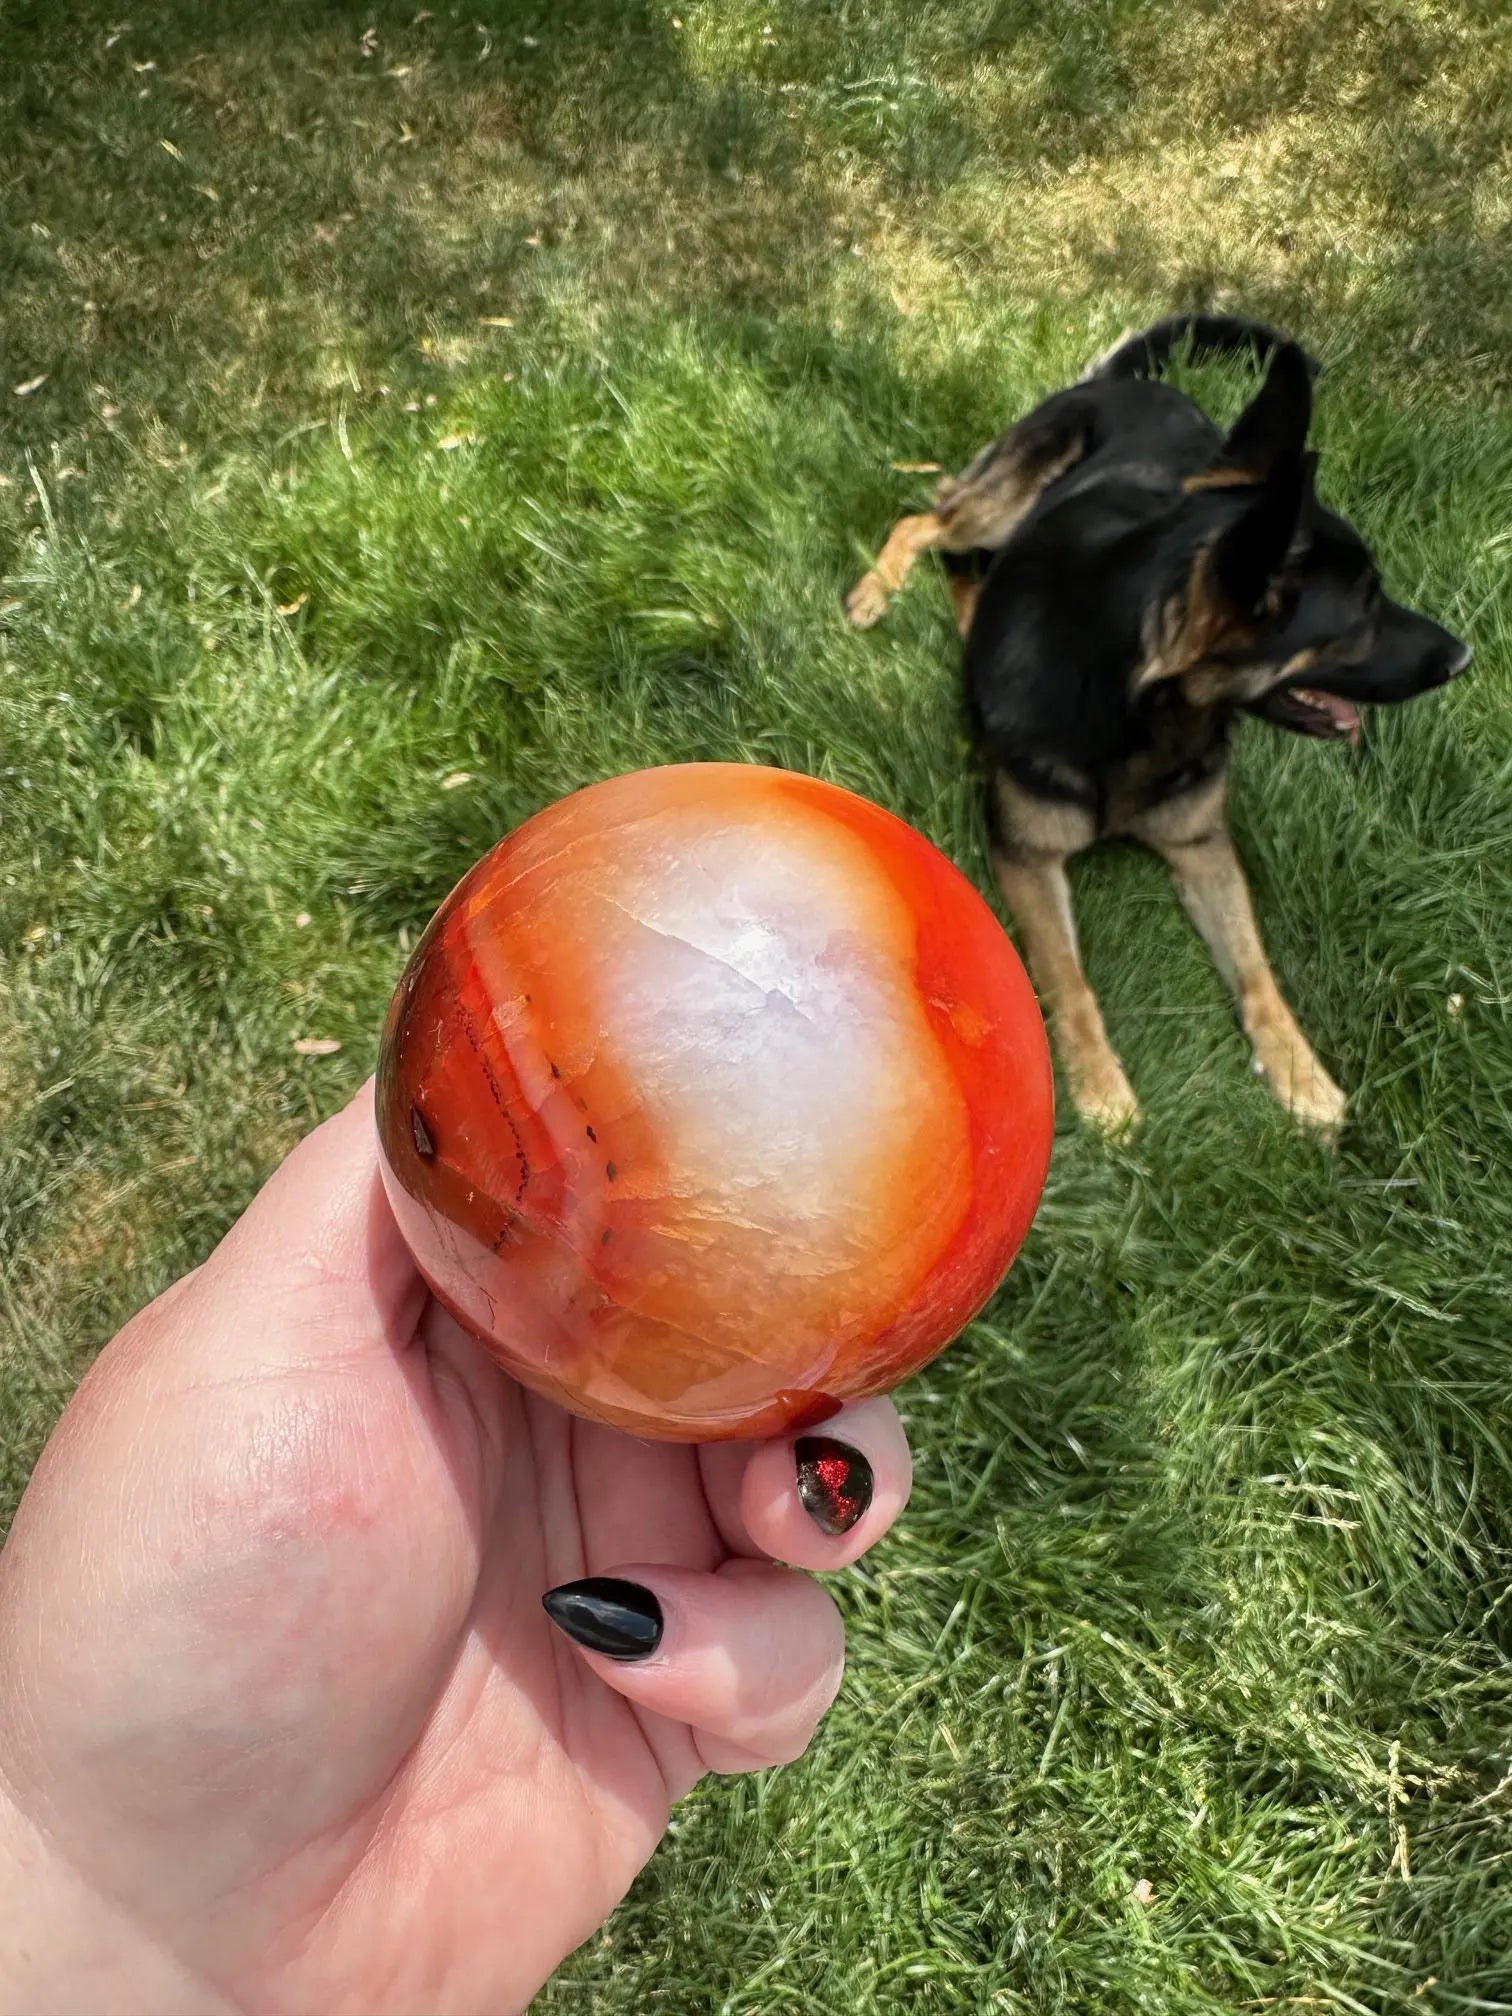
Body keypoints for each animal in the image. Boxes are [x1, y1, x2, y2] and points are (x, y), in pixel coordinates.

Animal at [846, 310, 1475, 1137]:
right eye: (1362, 613)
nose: (1467, 657)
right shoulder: (1027, 857)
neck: (1140, 716)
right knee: (927, 520)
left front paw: (1300, 1072)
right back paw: (873, 591)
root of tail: (1129, 383)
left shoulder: (1202, 847)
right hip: (997, 503)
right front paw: (1100, 1087)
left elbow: (1257, 971)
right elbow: (1069, 978)